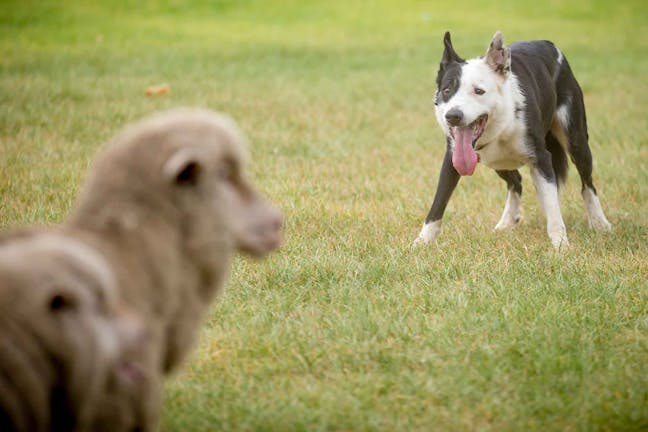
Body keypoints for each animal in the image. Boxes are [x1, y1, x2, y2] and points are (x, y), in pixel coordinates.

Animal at [416, 31, 612, 250]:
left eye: (479, 91)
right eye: (447, 90)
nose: (453, 116)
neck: (504, 123)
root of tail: (547, 43)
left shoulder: (541, 158)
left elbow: (553, 205)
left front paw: (560, 245)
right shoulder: (454, 158)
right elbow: (439, 201)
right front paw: (422, 242)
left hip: (576, 140)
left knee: (587, 184)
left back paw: (599, 222)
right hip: (496, 161)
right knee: (516, 182)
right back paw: (507, 221)